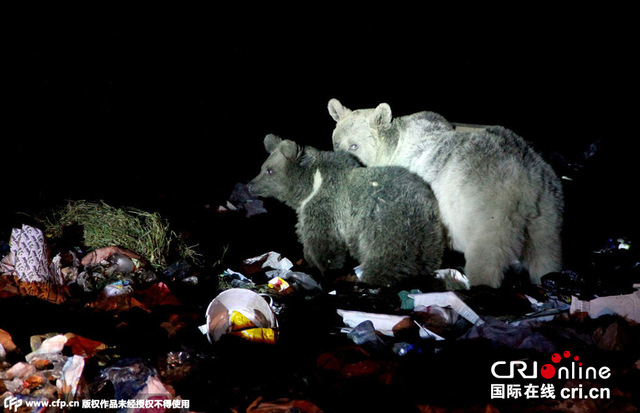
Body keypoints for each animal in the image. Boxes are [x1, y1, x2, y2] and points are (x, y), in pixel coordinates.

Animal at [328, 99, 564, 286]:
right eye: (336, 142)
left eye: (355, 145)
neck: (392, 147)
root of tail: (523, 180)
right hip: (548, 207)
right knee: (546, 253)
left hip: (486, 205)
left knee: (486, 255)